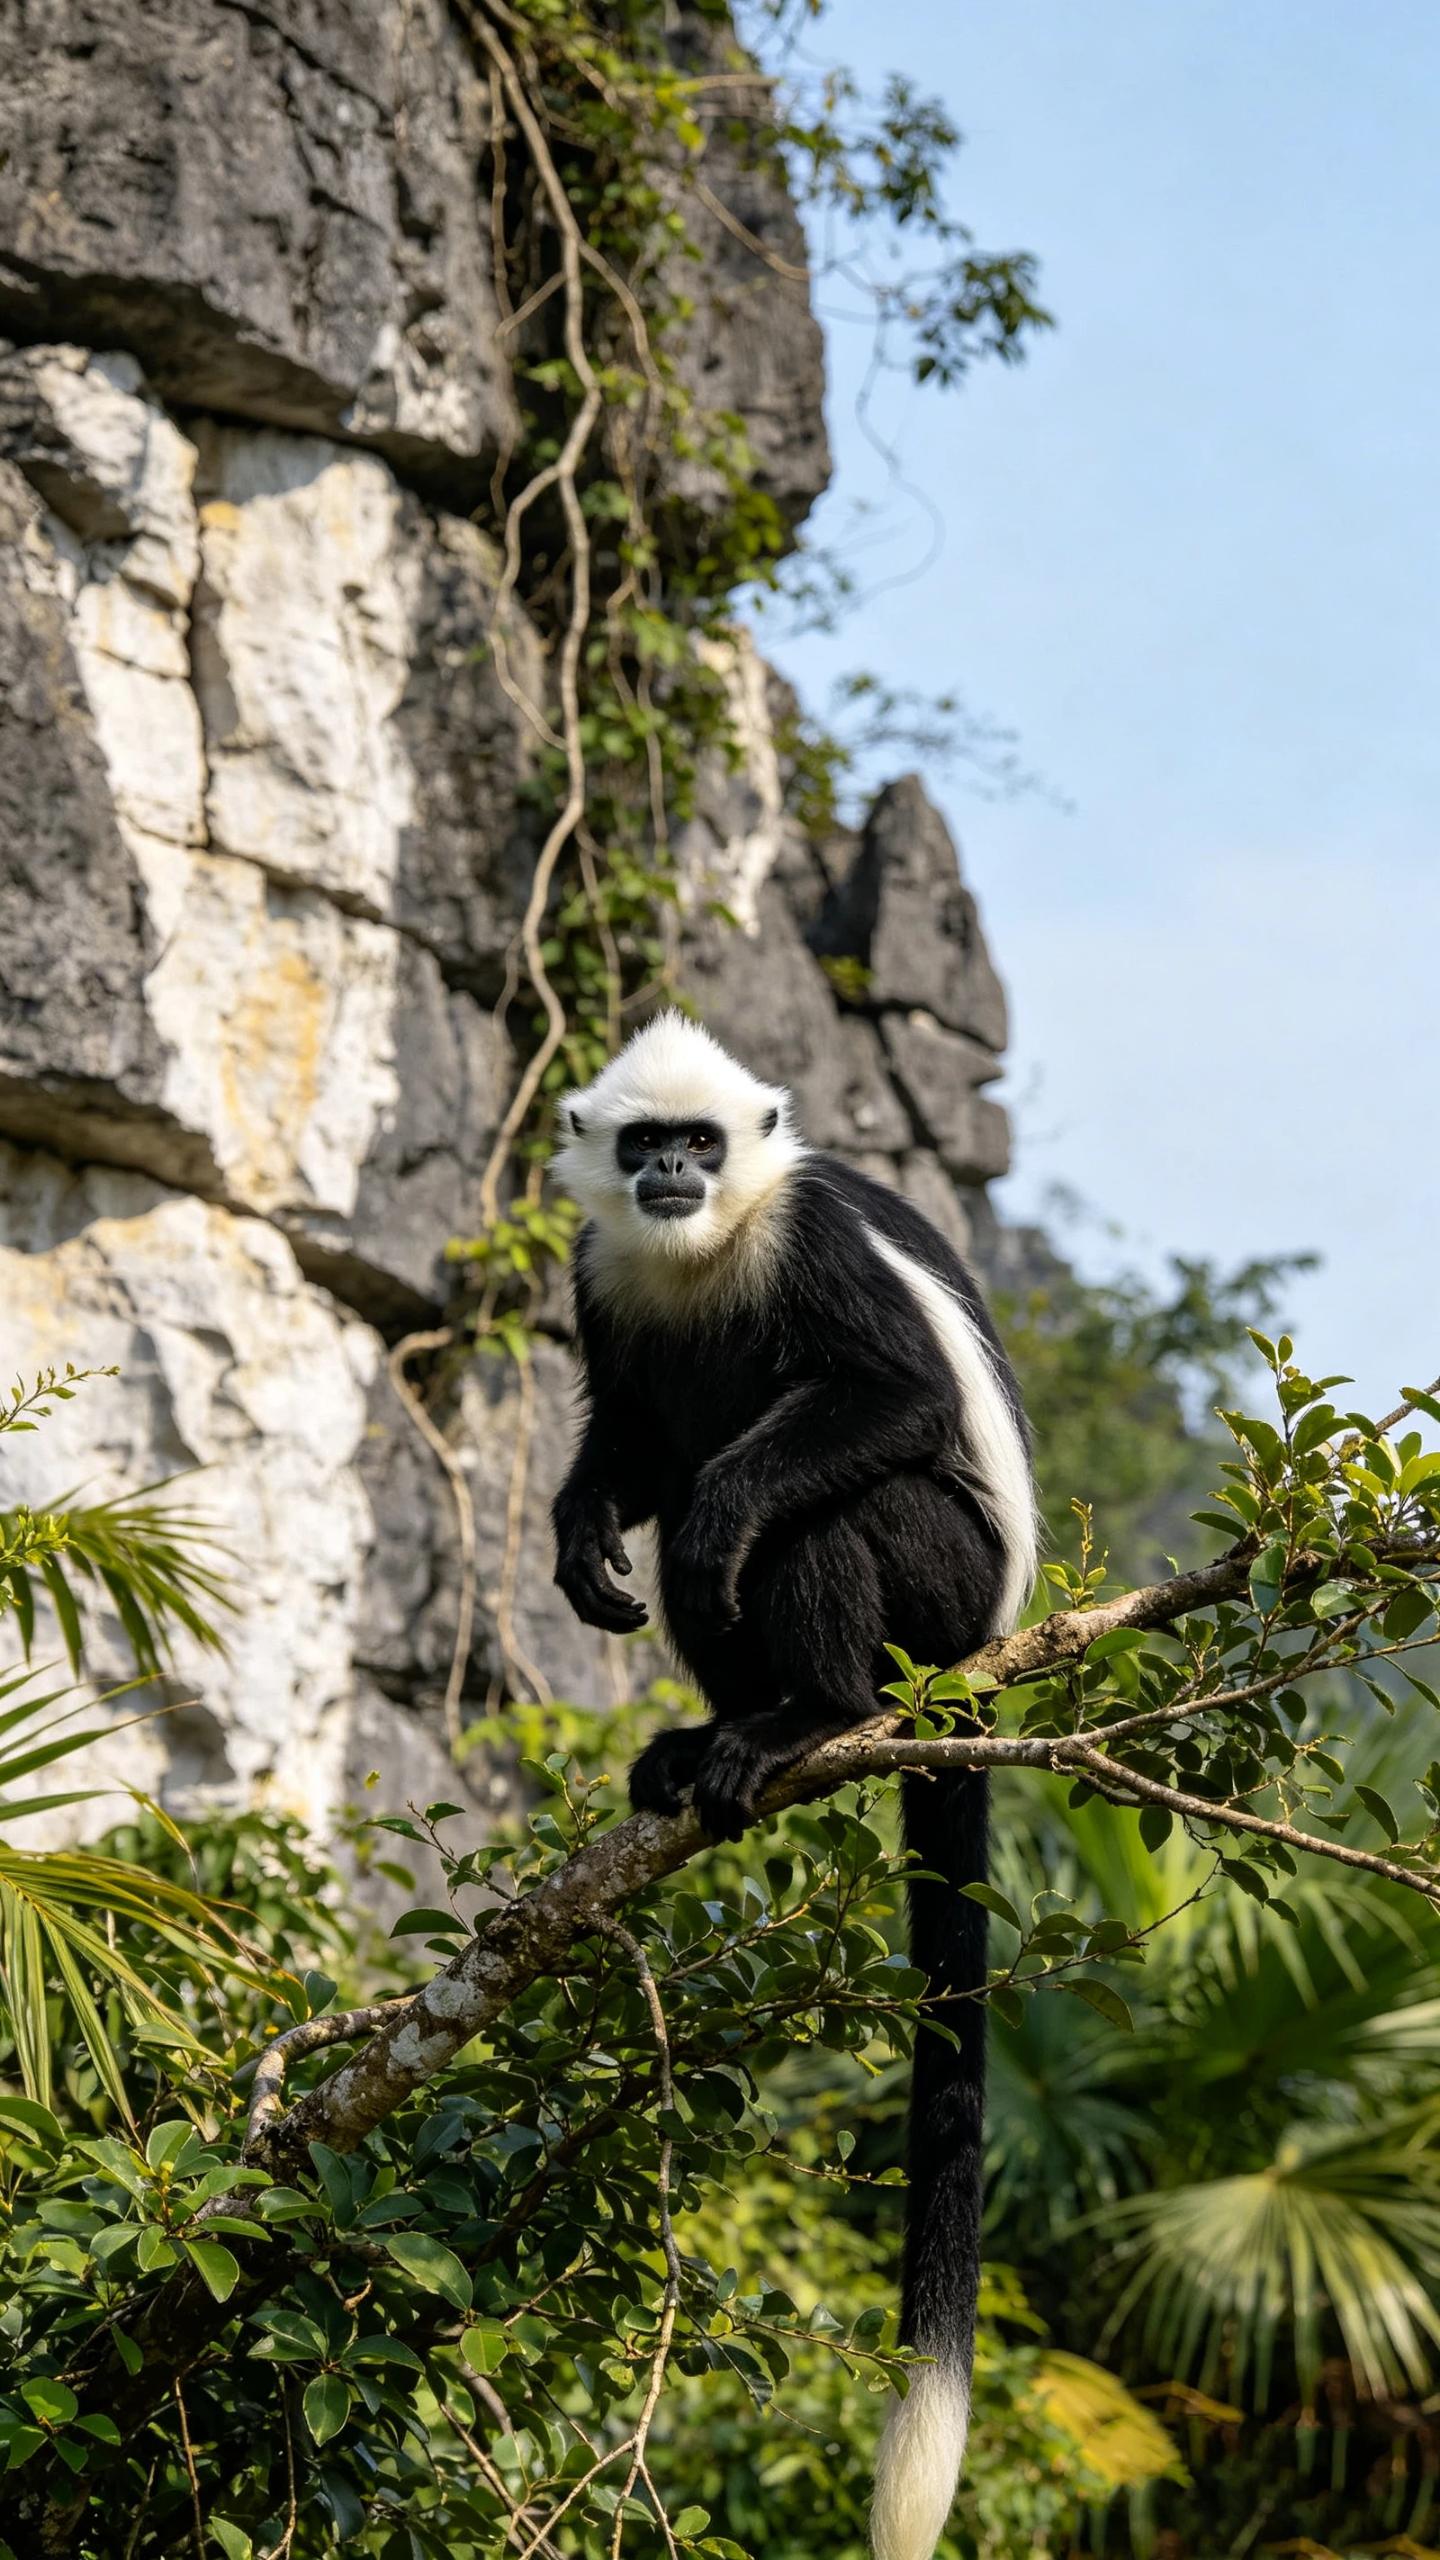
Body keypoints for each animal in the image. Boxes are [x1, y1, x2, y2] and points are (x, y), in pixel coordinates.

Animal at [549, 1011, 1037, 2560]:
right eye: (647, 1143)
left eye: (702, 1145)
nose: (670, 1176)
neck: (709, 1246)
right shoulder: (603, 1270)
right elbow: (635, 1443)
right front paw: (582, 1538)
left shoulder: (806, 1236)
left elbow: (891, 1403)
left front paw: (710, 1521)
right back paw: (713, 1734)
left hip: (943, 1597)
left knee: (815, 1511)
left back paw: (808, 1716)